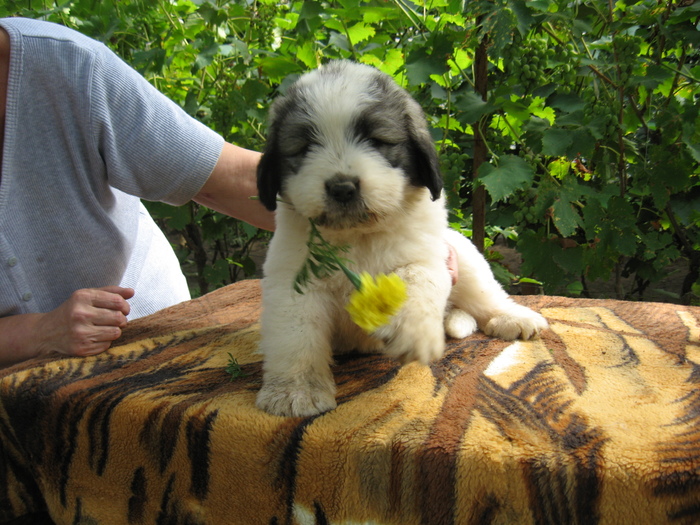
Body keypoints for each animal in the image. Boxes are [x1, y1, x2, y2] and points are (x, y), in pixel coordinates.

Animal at [254, 59, 548, 416]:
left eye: (378, 140)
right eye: (304, 147)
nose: (342, 187)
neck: (359, 235)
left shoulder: (428, 255)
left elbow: (415, 279)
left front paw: (409, 330)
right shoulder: (293, 280)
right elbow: (295, 337)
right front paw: (295, 390)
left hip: (464, 255)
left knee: (486, 297)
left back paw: (512, 317)